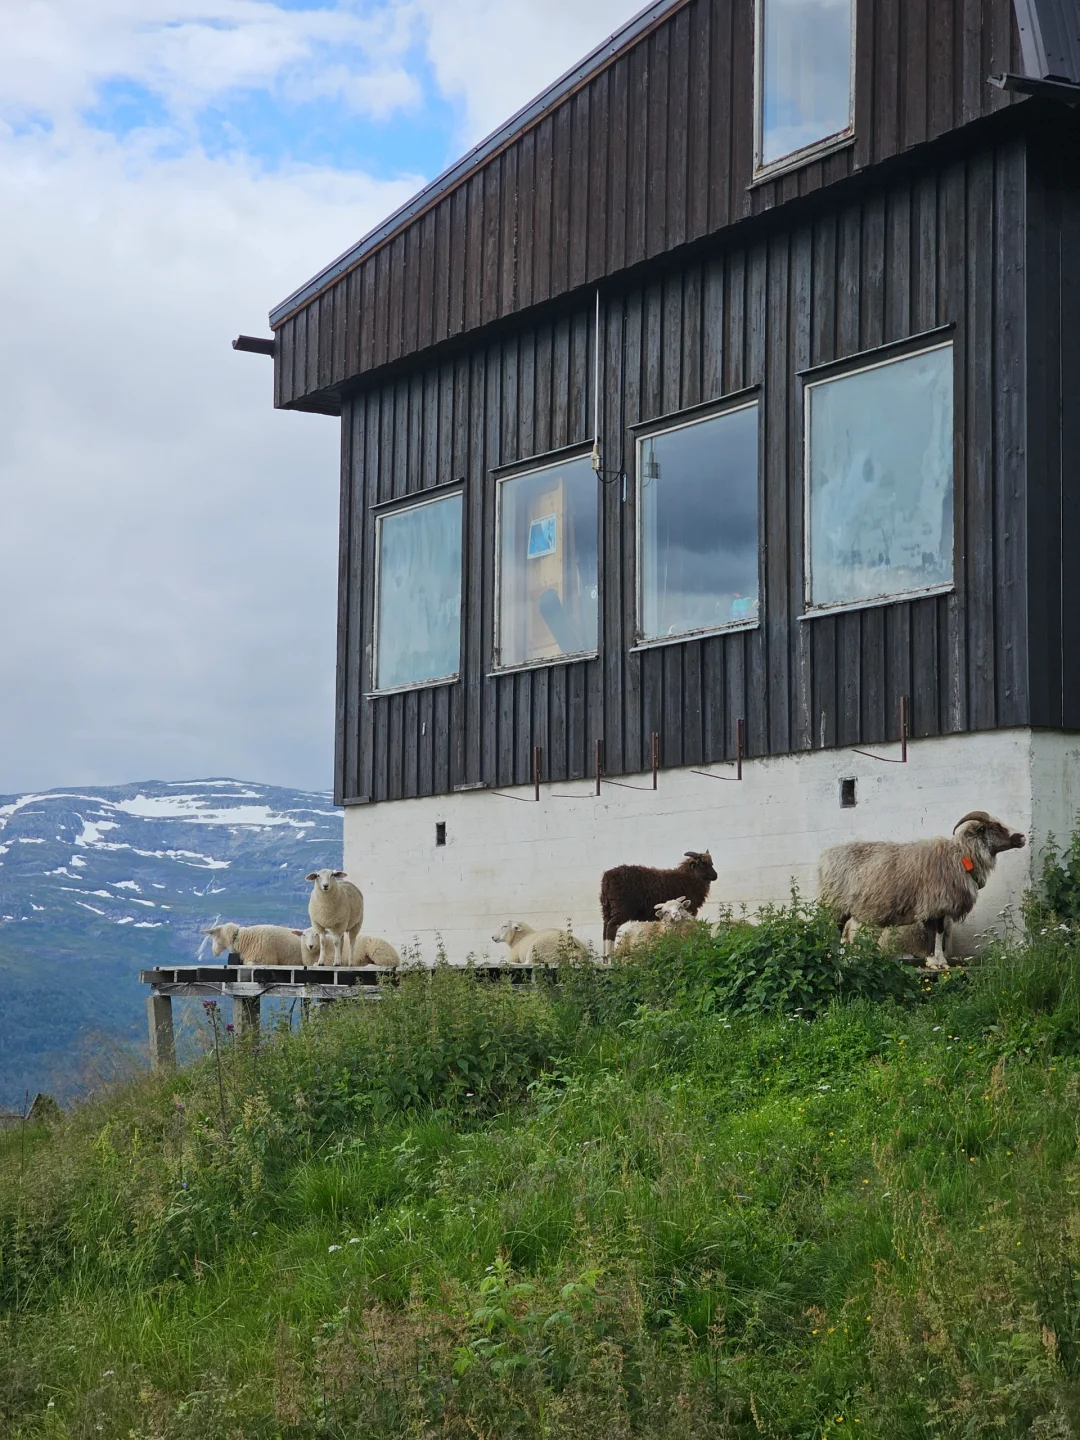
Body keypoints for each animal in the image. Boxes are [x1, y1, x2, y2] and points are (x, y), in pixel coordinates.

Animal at [817, 812, 1031, 967]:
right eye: (996, 827)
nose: (1022, 837)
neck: (961, 857)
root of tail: (825, 856)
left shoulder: (942, 907)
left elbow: (940, 933)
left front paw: (942, 962)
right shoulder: (930, 904)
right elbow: (932, 933)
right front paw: (933, 962)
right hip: (835, 905)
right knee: (832, 931)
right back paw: (831, 958)